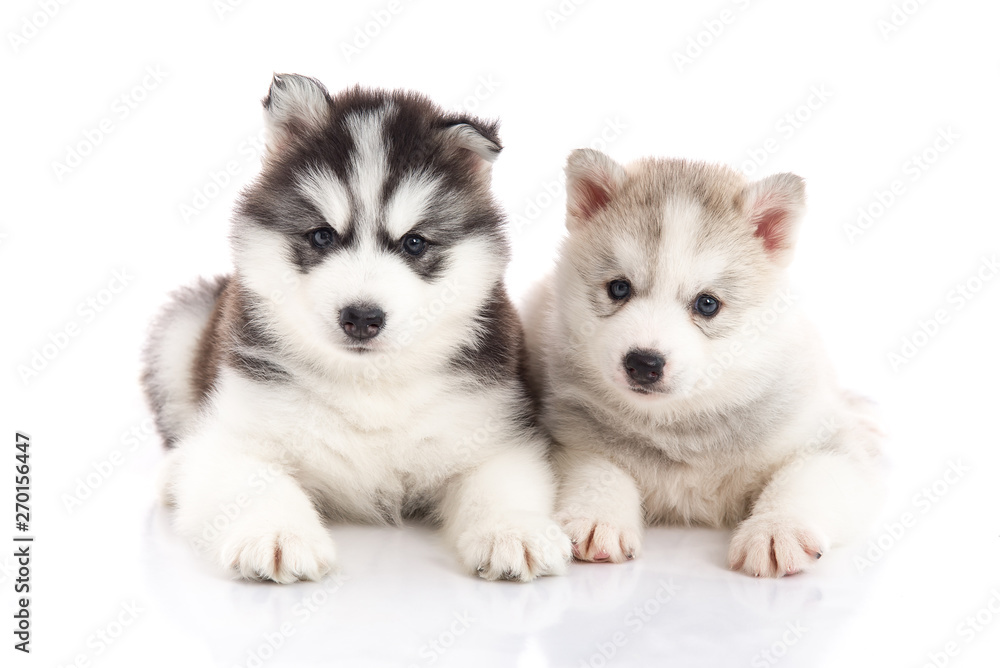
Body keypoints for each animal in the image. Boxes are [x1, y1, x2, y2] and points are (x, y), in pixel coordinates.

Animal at [145, 74, 576, 584]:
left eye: (414, 243)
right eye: (321, 236)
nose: (362, 318)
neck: (369, 385)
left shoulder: (497, 432)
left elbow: (499, 483)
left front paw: (514, 532)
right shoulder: (234, 435)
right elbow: (252, 482)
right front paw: (277, 534)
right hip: (181, 326)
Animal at [524, 149, 884, 576]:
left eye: (707, 304)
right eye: (619, 288)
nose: (643, 363)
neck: (682, 427)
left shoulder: (828, 445)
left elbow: (804, 478)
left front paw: (776, 529)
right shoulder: (571, 437)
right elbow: (599, 470)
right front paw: (597, 517)